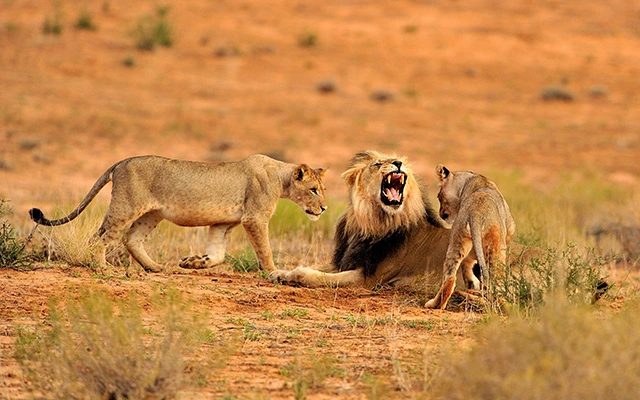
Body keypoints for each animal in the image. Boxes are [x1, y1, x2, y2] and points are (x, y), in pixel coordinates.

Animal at [29, 154, 328, 274]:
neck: (281, 178)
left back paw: (155, 267)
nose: (324, 208)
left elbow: (217, 255)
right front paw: (274, 272)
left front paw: (193, 263)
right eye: (313, 190)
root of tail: (122, 161)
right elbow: (264, 249)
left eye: (323, 189)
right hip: (125, 207)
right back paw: (102, 267)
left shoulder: (222, 224)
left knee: (130, 239)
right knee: (100, 238)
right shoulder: (254, 218)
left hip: (152, 215)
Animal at [270, 150, 458, 290]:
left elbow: (315, 275)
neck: (371, 222)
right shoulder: (345, 262)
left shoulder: (367, 279)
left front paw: (293, 275)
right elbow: (316, 267)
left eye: (400, 162)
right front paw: (279, 273)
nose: (398, 163)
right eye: (377, 164)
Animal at [425, 165, 516, 309]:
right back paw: (506, 305)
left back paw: (435, 305)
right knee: (496, 282)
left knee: (450, 278)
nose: (441, 214)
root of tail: (475, 212)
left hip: (457, 240)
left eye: (438, 196)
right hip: (497, 249)